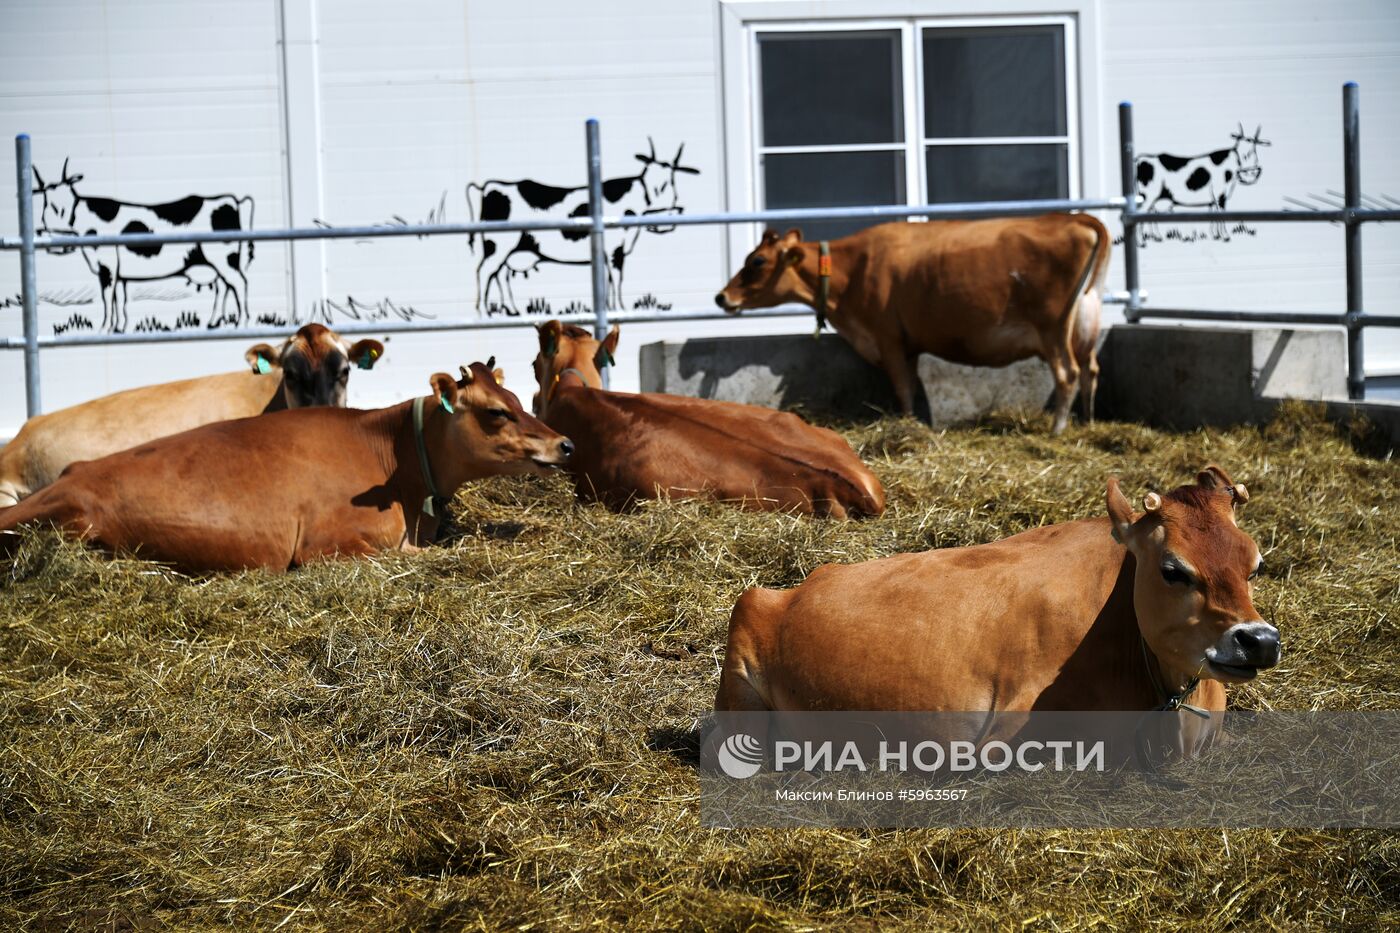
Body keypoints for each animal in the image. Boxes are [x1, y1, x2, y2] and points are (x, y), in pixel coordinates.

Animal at [716, 212, 1108, 431]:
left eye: (757, 262)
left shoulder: (887, 338)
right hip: (1082, 323)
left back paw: (1057, 429)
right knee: (1090, 370)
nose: (721, 297)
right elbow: (913, 384)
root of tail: (1074, 218)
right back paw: (1088, 422)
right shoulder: (908, 344)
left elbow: (903, 388)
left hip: (1053, 326)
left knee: (1068, 374)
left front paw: (906, 423)